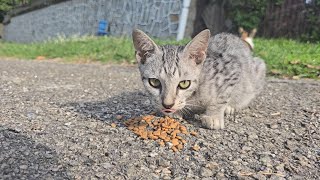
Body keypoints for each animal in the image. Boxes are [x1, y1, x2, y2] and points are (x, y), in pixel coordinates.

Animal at [132, 28, 264, 129]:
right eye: (154, 82)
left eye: (184, 83)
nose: (167, 105)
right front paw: (175, 112)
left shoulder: (232, 70)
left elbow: (221, 98)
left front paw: (214, 116)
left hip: (258, 68)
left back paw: (230, 107)